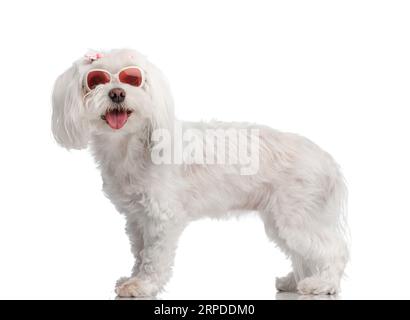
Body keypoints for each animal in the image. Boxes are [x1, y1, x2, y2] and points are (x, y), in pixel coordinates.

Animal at [52, 48, 350, 298]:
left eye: (133, 79)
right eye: (95, 80)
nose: (116, 93)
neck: (130, 145)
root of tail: (327, 159)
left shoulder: (161, 217)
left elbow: (154, 256)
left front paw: (144, 285)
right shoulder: (137, 218)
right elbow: (139, 251)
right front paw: (133, 278)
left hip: (296, 217)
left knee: (333, 250)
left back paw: (323, 284)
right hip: (282, 219)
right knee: (304, 254)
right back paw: (294, 281)